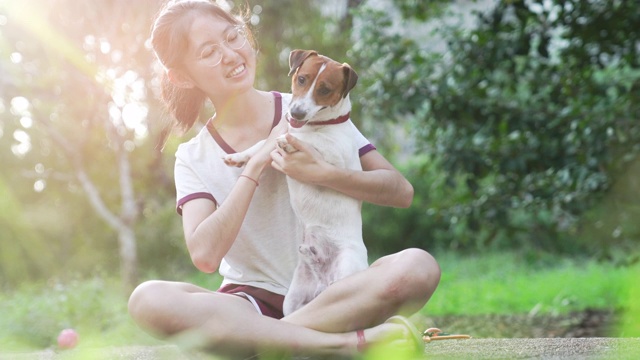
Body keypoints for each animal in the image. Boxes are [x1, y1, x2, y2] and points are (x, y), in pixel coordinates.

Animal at [222, 49, 368, 314]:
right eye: (302, 79)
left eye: (325, 89)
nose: (297, 113)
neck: (317, 125)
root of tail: (322, 280)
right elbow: (262, 145)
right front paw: (239, 157)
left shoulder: (336, 157)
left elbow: (304, 140)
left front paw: (290, 141)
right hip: (293, 298)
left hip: (347, 273)